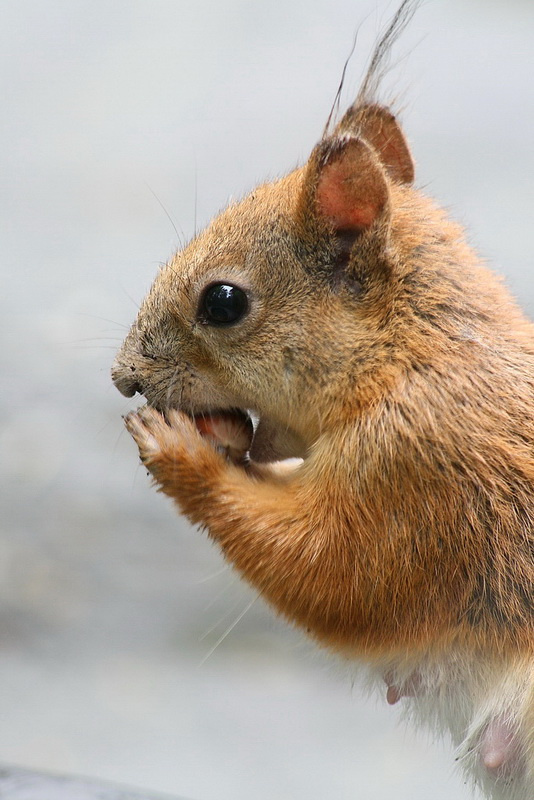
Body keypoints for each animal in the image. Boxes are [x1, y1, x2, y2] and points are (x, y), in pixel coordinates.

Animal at [112, 1, 534, 797]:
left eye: (223, 302)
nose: (124, 377)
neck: (406, 358)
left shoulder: (418, 479)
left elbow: (332, 575)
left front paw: (180, 453)